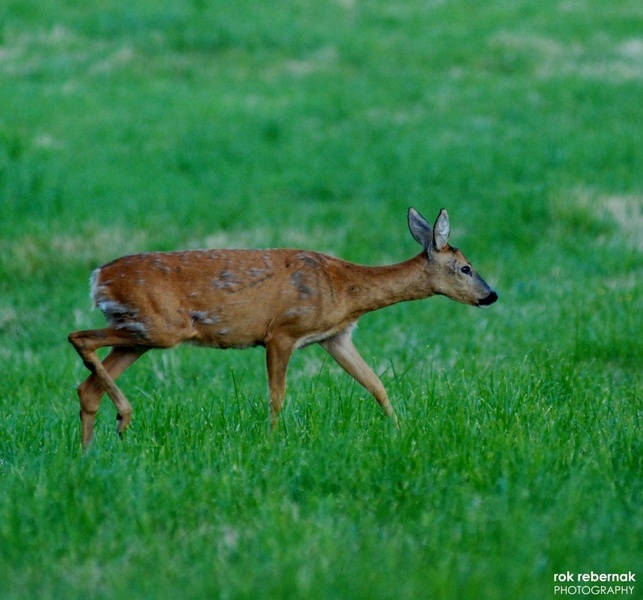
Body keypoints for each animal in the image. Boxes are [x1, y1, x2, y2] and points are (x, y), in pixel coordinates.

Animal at [69, 207, 497, 448]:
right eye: (466, 268)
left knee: (87, 386)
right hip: (161, 327)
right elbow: (277, 397)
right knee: (79, 338)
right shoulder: (282, 332)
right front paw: (275, 443)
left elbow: (377, 385)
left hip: (140, 333)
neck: (344, 288)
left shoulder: (336, 337)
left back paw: (90, 452)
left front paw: (400, 431)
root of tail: (98, 277)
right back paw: (123, 418)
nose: (491, 295)